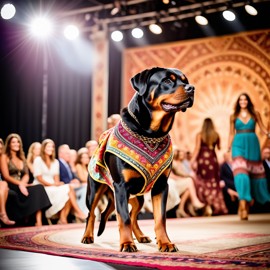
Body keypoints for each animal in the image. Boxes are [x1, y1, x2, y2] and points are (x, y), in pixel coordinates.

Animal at [81, 66, 195, 252]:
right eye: (167, 81)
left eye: (186, 81)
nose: (191, 88)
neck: (151, 134)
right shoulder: (121, 186)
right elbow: (123, 218)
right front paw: (127, 244)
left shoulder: (161, 186)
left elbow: (160, 219)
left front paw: (165, 243)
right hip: (95, 189)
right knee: (92, 213)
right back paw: (87, 236)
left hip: (138, 196)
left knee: (133, 214)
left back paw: (141, 236)